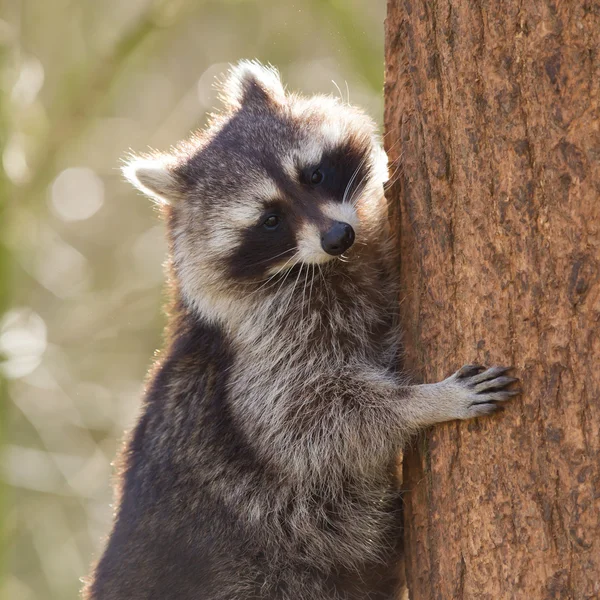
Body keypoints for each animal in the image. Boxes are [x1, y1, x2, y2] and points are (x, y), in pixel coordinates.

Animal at [82, 62, 516, 600]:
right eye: (270, 219)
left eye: (314, 174)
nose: (338, 236)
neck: (327, 266)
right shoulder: (262, 346)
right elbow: (305, 421)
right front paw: (424, 403)